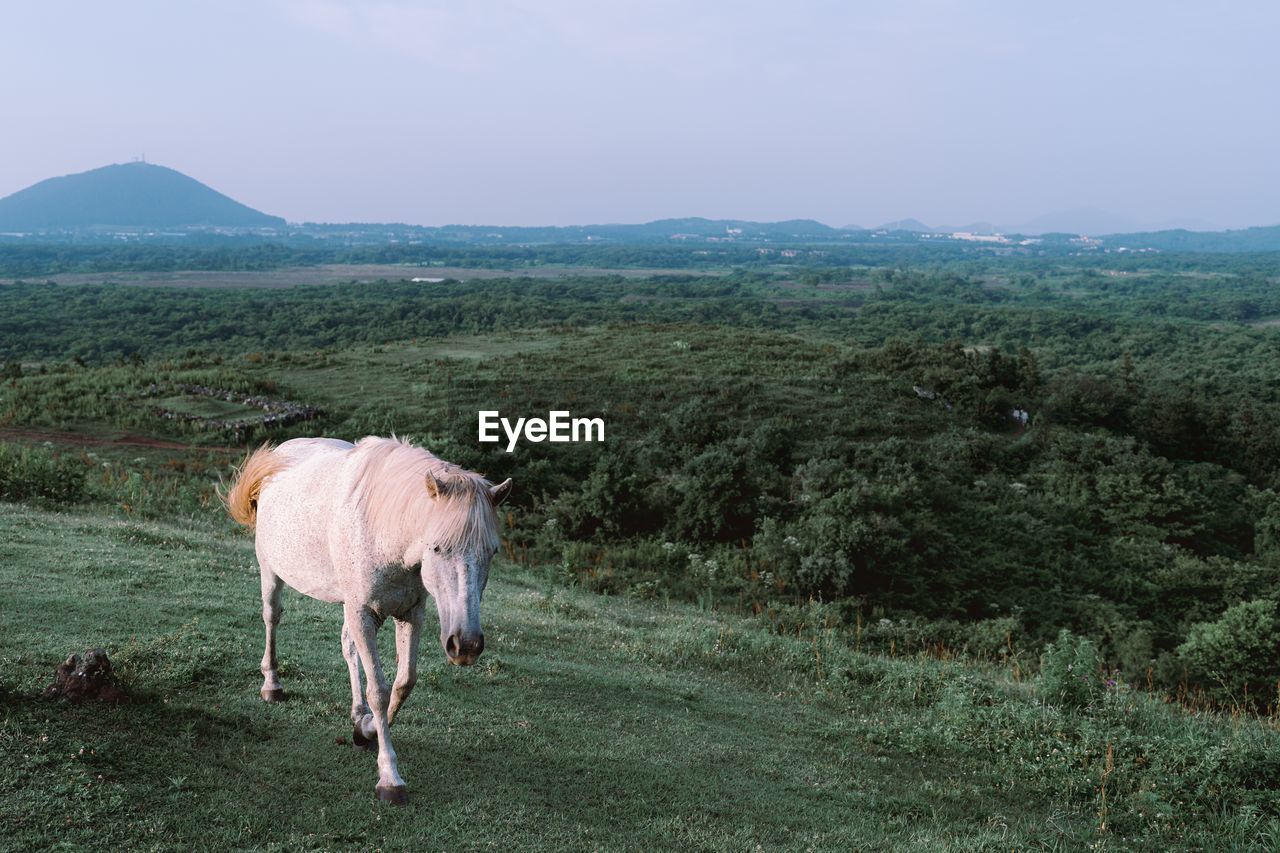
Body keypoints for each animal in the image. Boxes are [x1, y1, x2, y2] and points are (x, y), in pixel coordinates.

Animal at [222, 435, 512, 799]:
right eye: (437, 548)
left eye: (492, 552)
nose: (466, 645)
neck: (384, 529)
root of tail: (281, 451)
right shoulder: (363, 613)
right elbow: (379, 690)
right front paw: (390, 776)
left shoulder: (409, 615)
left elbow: (404, 682)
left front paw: (366, 728)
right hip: (270, 571)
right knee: (272, 618)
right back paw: (272, 685)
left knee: (348, 647)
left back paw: (357, 715)